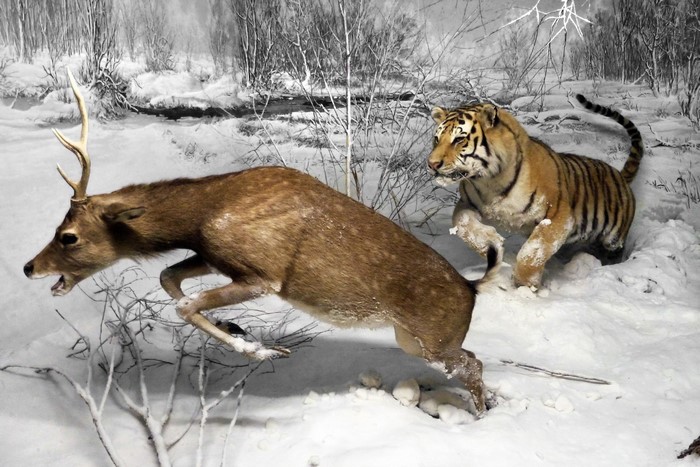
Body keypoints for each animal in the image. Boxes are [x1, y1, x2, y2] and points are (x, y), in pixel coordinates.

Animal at [23, 70, 500, 414]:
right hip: (412, 338)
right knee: (471, 359)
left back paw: (479, 416)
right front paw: (236, 326)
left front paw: (262, 349)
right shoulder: (213, 255)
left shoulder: (264, 274)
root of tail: (471, 289)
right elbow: (168, 278)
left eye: (68, 236)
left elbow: (184, 304)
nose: (30, 267)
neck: (206, 211)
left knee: (473, 363)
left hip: (432, 339)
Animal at [427, 94, 644, 288]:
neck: (489, 180)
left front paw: (525, 285)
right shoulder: (466, 203)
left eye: (459, 140)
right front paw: (493, 244)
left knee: (613, 250)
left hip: (614, 237)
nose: (432, 164)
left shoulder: (559, 215)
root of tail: (620, 175)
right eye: (436, 139)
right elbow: (461, 223)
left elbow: (534, 250)